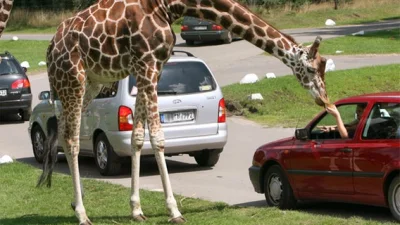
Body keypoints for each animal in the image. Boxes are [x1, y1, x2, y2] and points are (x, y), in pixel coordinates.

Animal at [39, 0, 330, 224]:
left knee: (63, 130)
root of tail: (51, 47)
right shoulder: (147, 64)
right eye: (311, 69)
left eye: (324, 67)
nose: (324, 100)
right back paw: (82, 214)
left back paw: (74, 204)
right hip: (73, 78)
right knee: (72, 138)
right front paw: (174, 211)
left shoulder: (150, 68)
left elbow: (137, 138)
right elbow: (158, 138)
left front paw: (136, 210)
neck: (170, 5)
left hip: (92, 81)